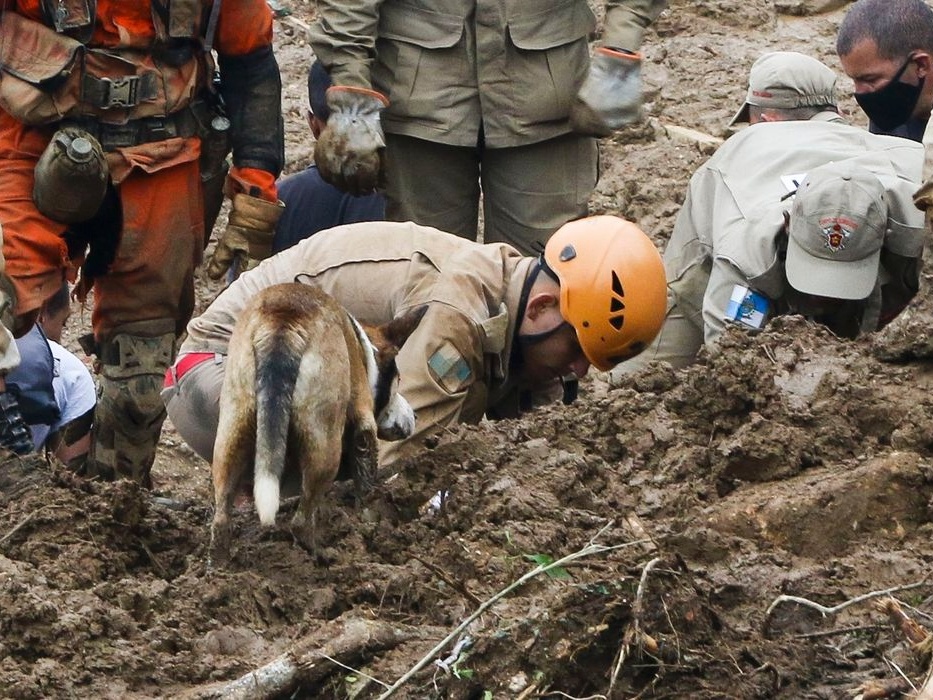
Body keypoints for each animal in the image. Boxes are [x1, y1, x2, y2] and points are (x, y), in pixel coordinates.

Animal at [209, 280, 424, 564]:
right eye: (398, 381)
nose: (415, 416)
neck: (364, 350)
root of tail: (284, 322)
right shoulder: (364, 426)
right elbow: (365, 478)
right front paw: (366, 519)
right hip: (325, 445)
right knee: (300, 521)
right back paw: (321, 554)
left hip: (233, 429)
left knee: (221, 517)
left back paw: (218, 567)